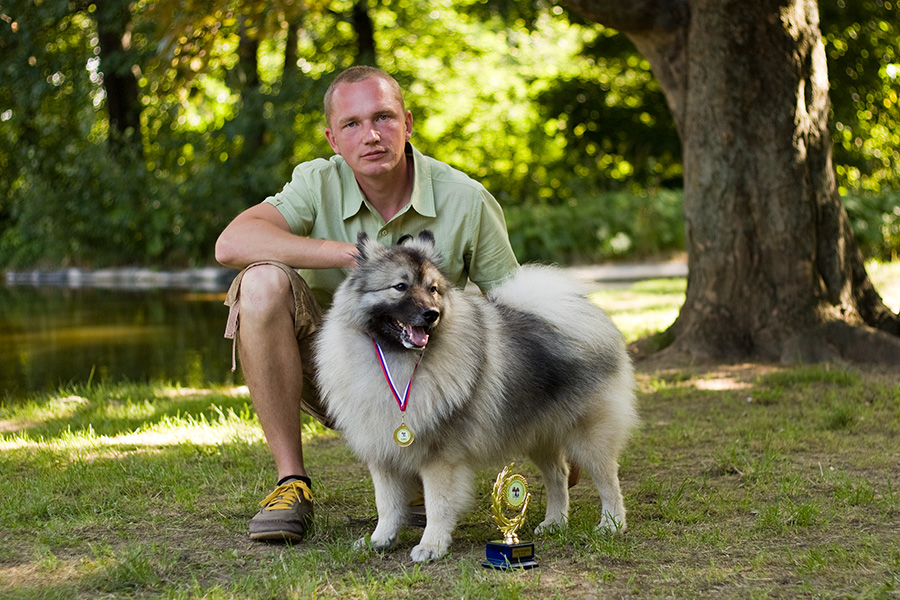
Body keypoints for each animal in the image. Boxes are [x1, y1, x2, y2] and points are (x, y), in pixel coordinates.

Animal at [316, 230, 640, 564]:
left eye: (433, 289)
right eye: (400, 286)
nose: (431, 314)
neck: (397, 361)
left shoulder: (440, 458)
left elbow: (437, 504)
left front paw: (431, 545)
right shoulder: (383, 455)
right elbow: (387, 504)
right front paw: (379, 540)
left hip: (589, 435)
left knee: (607, 479)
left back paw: (611, 524)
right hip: (540, 434)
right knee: (558, 476)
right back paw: (554, 522)